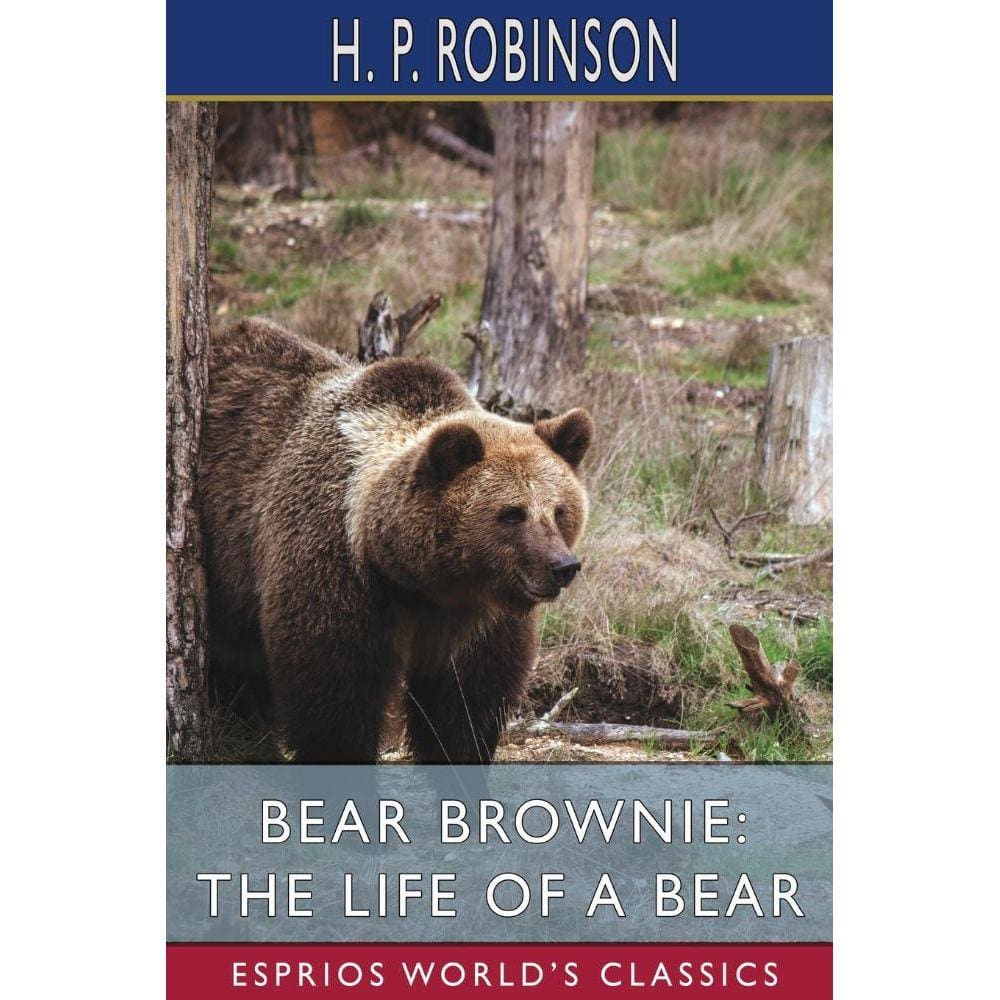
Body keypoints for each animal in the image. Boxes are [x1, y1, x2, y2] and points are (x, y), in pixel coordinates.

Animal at [199, 317, 593, 764]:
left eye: (559, 511)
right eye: (512, 513)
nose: (563, 566)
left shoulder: (476, 618)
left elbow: (464, 703)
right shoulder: (336, 569)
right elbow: (335, 696)